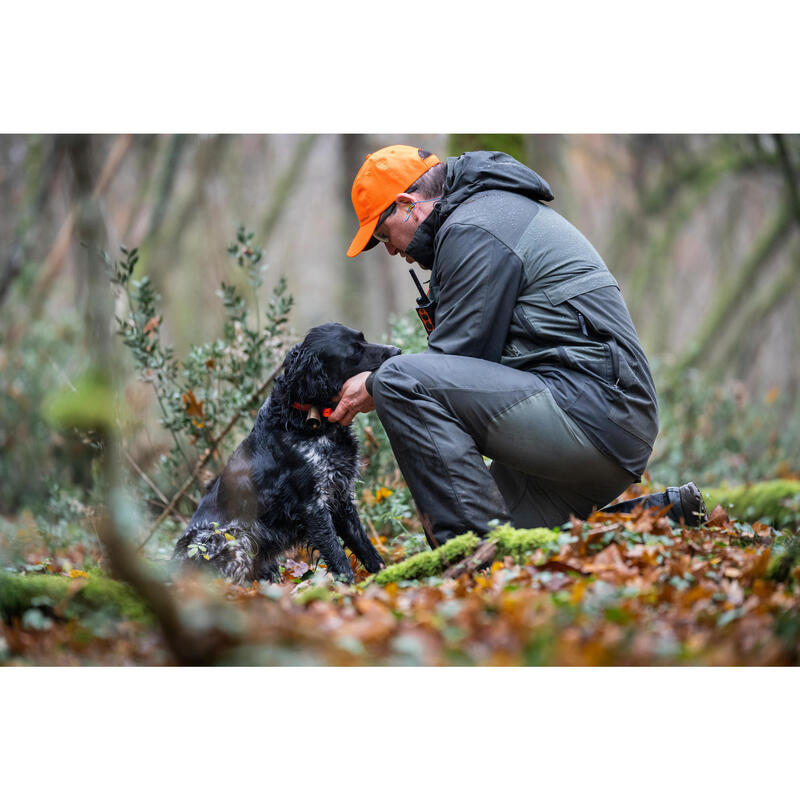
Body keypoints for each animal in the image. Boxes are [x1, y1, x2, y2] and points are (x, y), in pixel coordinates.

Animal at [174, 322, 400, 584]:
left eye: (363, 339)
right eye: (354, 351)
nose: (397, 351)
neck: (309, 423)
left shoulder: (340, 495)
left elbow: (365, 546)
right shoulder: (312, 505)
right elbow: (337, 555)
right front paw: (349, 589)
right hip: (232, 539)